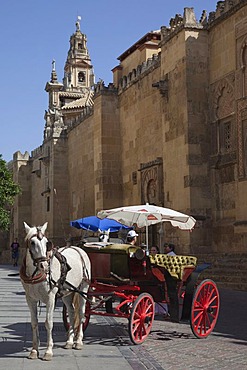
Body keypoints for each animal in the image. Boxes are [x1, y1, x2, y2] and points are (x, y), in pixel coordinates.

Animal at [19, 223, 90, 362]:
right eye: (32, 243)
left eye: (47, 243)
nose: (44, 266)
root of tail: (77, 248)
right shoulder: (30, 299)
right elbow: (34, 323)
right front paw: (34, 351)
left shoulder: (50, 299)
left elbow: (48, 323)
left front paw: (48, 351)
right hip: (67, 293)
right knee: (72, 313)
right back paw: (69, 341)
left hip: (83, 288)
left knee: (81, 313)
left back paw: (78, 341)